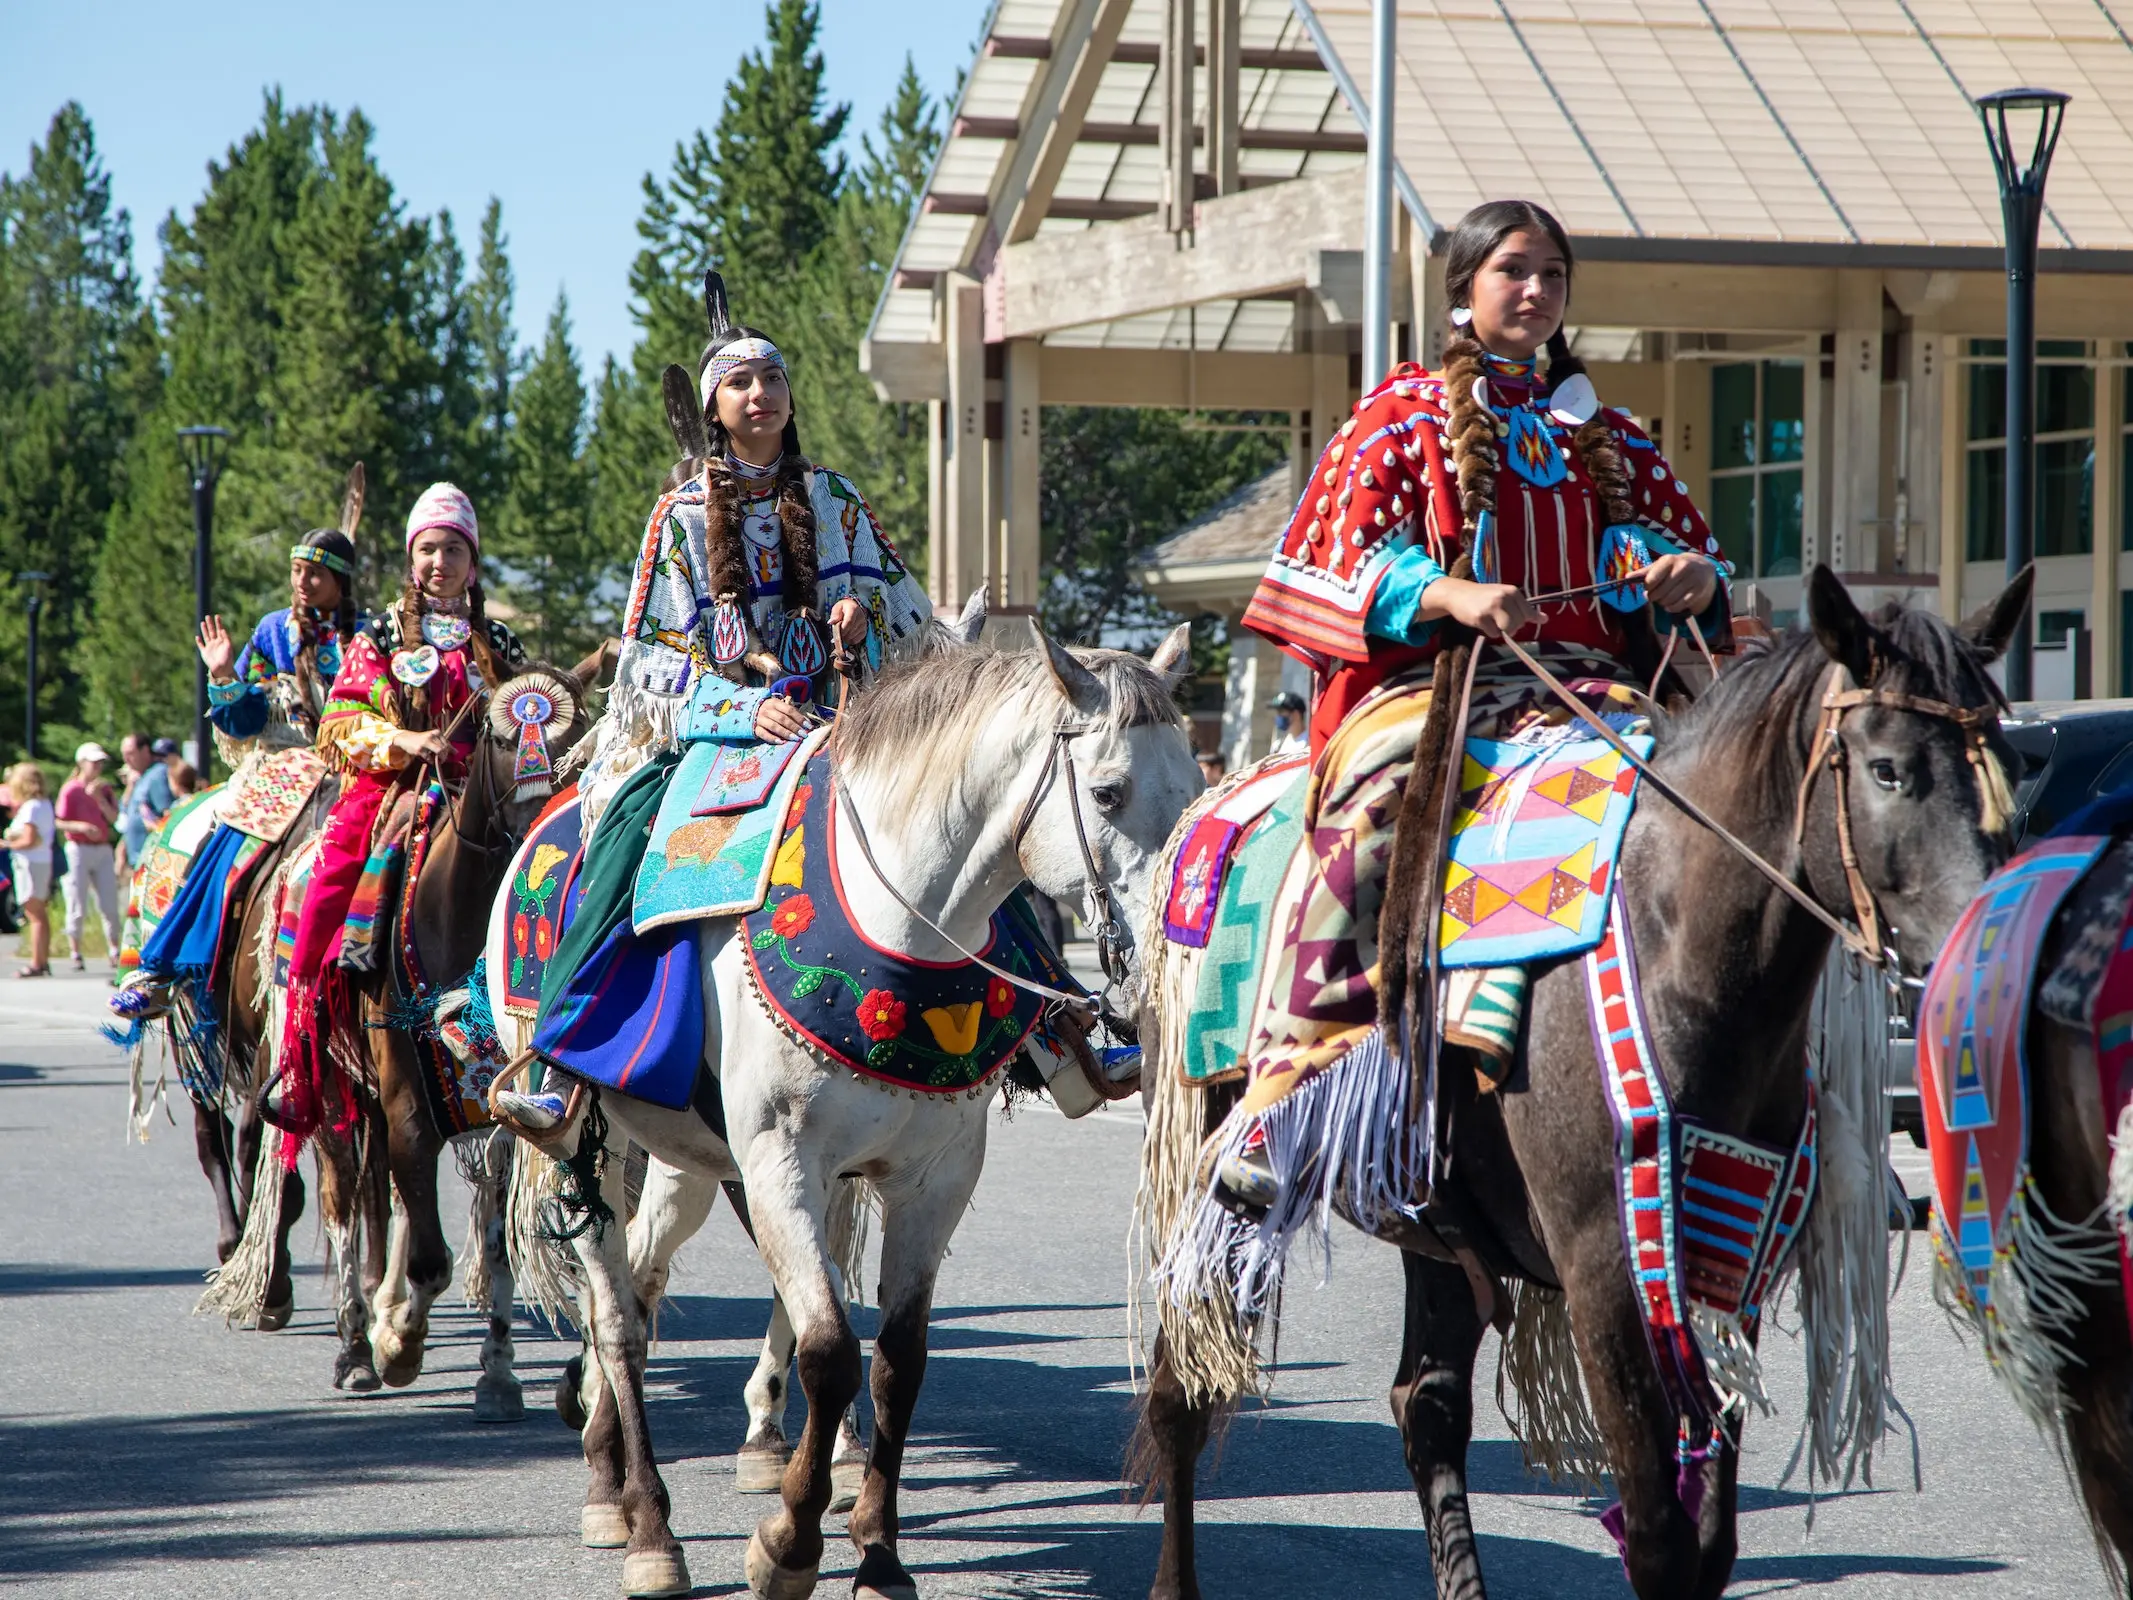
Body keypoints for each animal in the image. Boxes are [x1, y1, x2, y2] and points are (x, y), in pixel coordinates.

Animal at [311, 648, 605, 1399]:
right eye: (501, 736)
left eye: (577, 735)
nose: (541, 827)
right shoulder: (408, 1105)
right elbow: (430, 1257)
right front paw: (397, 1344)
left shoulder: (503, 1103)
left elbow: (495, 1247)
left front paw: (497, 1370)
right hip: (334, 1093)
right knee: (344, 1199)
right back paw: (355, 1343)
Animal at [499, 618, 1203, 1595]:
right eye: (1107, 791)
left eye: (1198, 790)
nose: (1162, 976)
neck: (898, 924)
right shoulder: (779, 1163)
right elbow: (828, 1350)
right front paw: (787, 1545)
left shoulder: (930, 1180)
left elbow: (897, 1362)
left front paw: (877, 1550)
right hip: (584, 1142)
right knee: (617, 1321)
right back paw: (644, 1523)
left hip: (684, 1157)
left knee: (641, 1282)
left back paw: (610, 1464)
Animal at [1134, 571, 2030, 1600]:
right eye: (1886, 770)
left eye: (2005, 759)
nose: (1982, 951)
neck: (1675, 950)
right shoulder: (1604, 1265)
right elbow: (1657, 1535)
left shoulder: (1723, 1263)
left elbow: (1706, 1538)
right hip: (1199, 1165)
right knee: (1181, 1388)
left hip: (1431, 1220)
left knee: (1424, 1404)